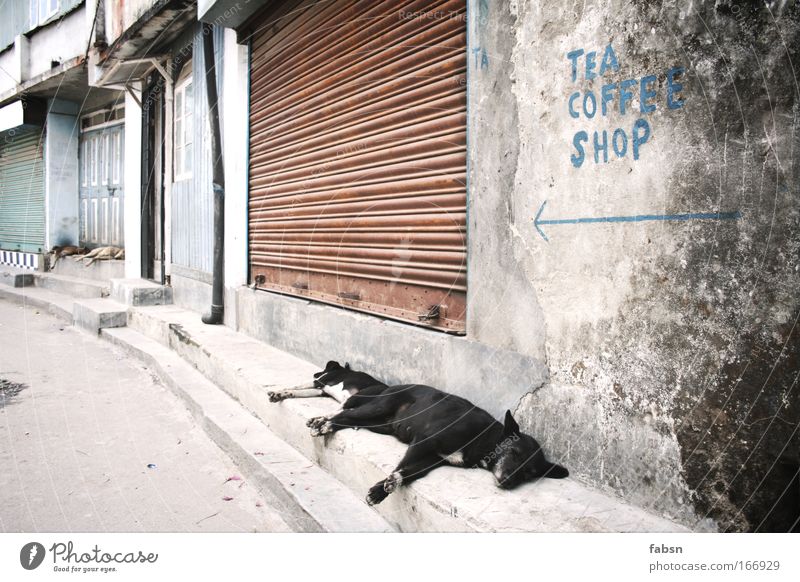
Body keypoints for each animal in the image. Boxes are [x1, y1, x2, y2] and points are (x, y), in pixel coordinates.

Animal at [302, 370, 568, 506]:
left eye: (529, 474)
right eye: (514, 453)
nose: (509, 481)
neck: (484, 438)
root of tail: (390, 386)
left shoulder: (433, 459)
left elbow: (408, 473)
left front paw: (387, 485)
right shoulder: (424, 442)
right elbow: (400, 467)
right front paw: (380, 490)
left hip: (379, 425)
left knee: (347, 418)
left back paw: (323, 423)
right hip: (376, 409)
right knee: (344, 413)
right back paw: (323, 423)